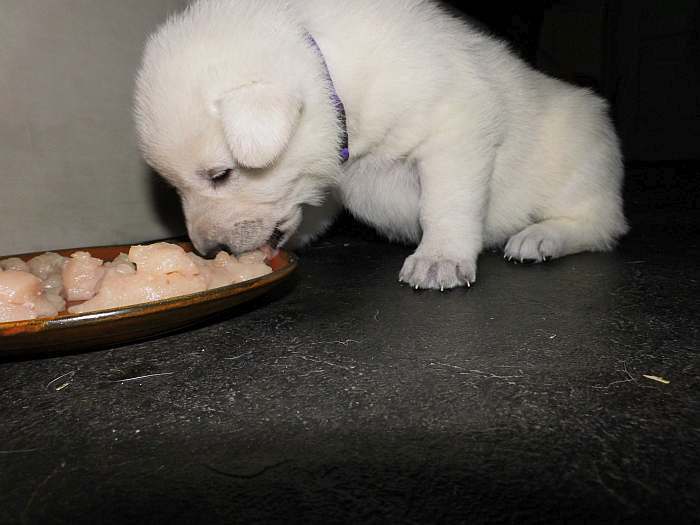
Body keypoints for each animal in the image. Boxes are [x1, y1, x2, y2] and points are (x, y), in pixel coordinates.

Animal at [135, 0, 628, 288]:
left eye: (220, 174)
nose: (208, 252)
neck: (332, 75)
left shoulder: (456, 128)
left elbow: (445, 204)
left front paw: (439, 258)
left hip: (580, 162)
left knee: (601, 225)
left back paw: (540, 237)